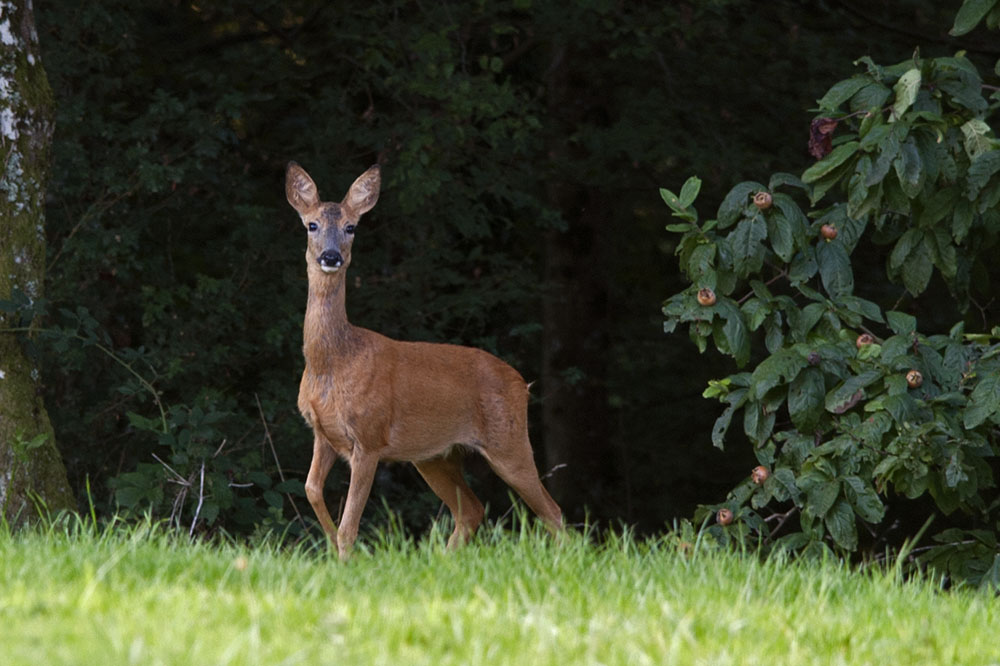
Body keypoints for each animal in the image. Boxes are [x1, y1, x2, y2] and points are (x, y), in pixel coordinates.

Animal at [284, 162, 564, 560]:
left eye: (351, 227)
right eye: (311, 224)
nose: (331, 256)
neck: (333, 362)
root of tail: (521, 384)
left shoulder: (369, 437)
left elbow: (349, 525)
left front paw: (346, 561)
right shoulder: (323, 434)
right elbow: (311, 490)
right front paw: (331, 552)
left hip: (509, 441)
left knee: (552, 512)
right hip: (433, 456)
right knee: (472, 510)